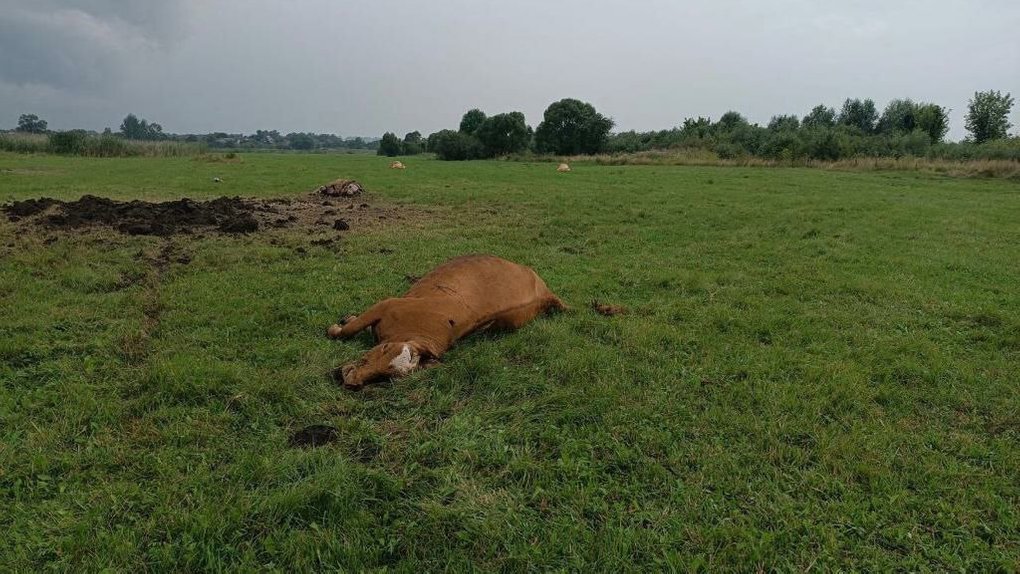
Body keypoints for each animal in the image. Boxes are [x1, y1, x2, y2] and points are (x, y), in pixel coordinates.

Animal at [326, 253, 567, 389]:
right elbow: (352, 326)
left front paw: (336, 327)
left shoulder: (386, 304)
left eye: (386, 377)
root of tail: (546, 294)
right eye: (383, 349)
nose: (351, 382)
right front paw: (346, 320)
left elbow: (346, 330)